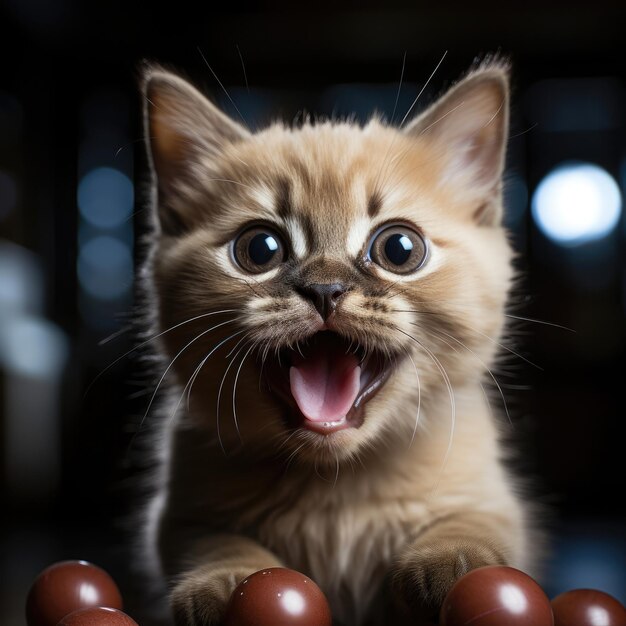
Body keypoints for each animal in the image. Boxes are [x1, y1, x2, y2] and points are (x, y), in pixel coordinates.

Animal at [140, 59, 536, 624]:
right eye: (259, 249)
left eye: (399, 248)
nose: (325, 289)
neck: (335, 485)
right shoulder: (180, 516)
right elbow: (215, 543)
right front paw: (229, 580)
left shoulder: (491, 500)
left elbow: (471, 523)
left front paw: (452, 558)